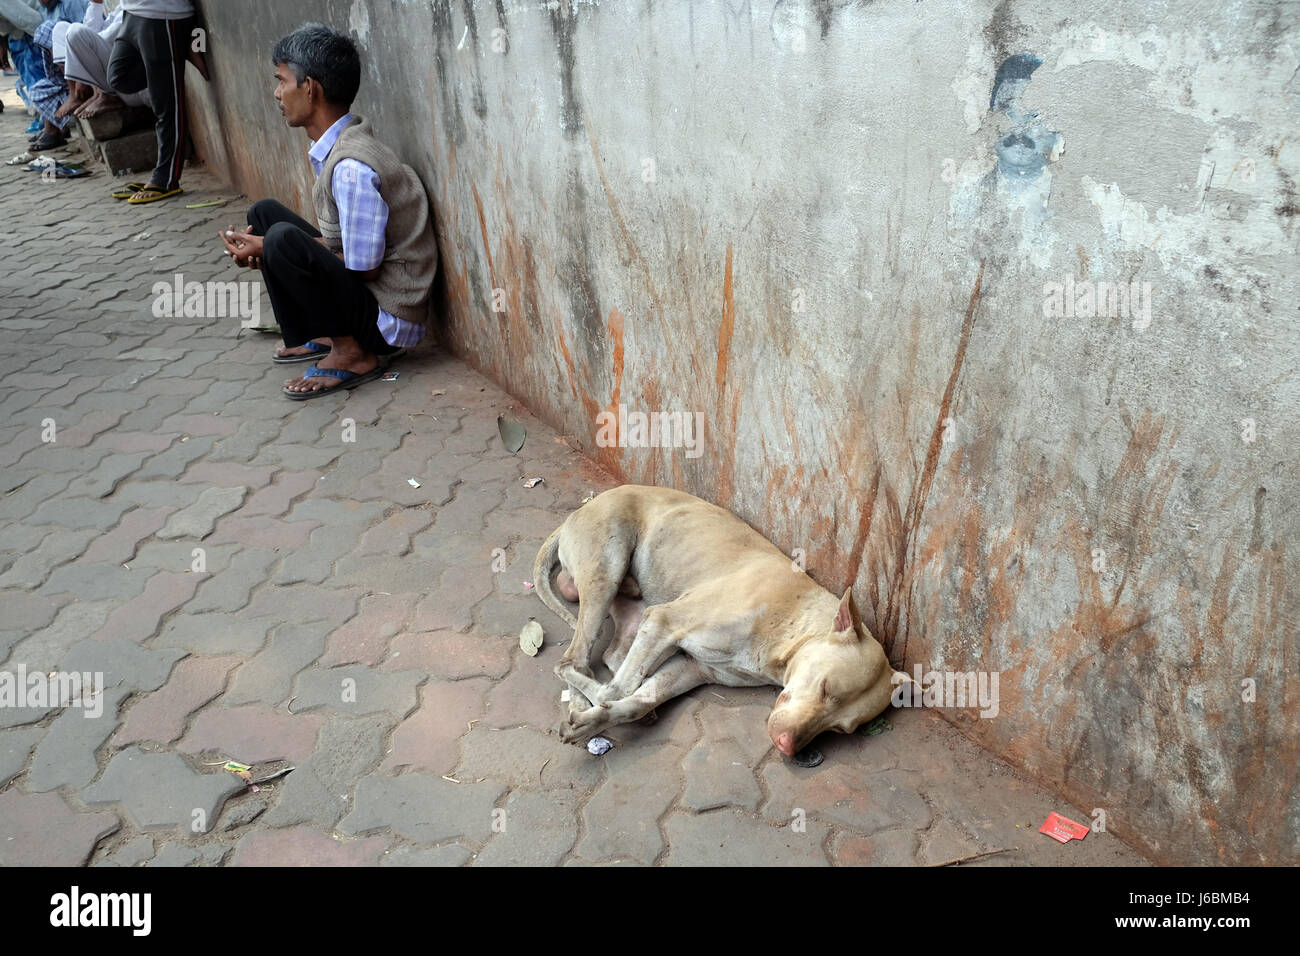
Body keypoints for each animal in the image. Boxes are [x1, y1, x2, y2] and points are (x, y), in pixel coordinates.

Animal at [530, 489, 904, 759]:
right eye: (825, 688)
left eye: (840, 730)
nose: (786, 745)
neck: (791, 626)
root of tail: (582, 509)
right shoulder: (664, 621)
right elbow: (618, 690)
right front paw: (594, 711)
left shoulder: (691, 668)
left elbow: (640, 700)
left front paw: (605, 716)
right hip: (607, 570)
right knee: (573, 661)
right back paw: (582, 699)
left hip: (633, 610)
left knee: (611, 655)